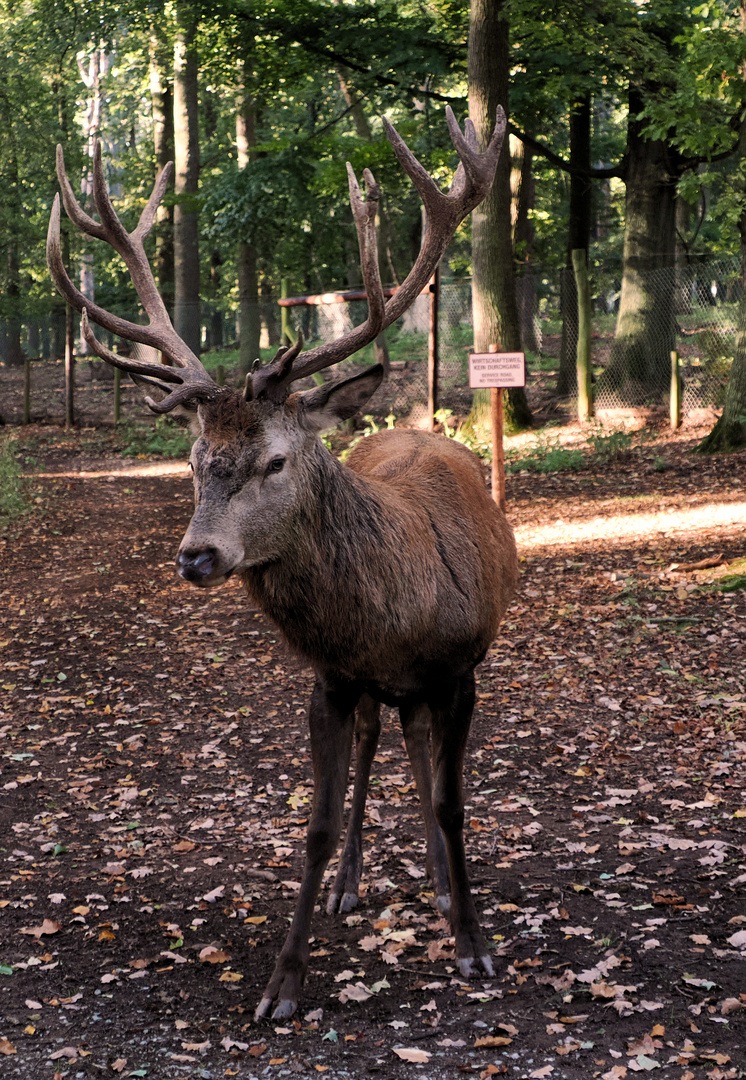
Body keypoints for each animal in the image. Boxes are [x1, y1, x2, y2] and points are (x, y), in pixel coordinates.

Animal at [48, 107, 520, 1019]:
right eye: (195, 460)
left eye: (273, 461)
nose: (197, 555)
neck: (399, 618)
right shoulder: (331, 677)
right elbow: (318, 822)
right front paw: (283, 982)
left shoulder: (462, 668)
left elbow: (454, 804)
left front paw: (475, 945)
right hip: (372, 693)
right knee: (384, 740)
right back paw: (355, 886)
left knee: (419, 749)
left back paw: (444, 887)